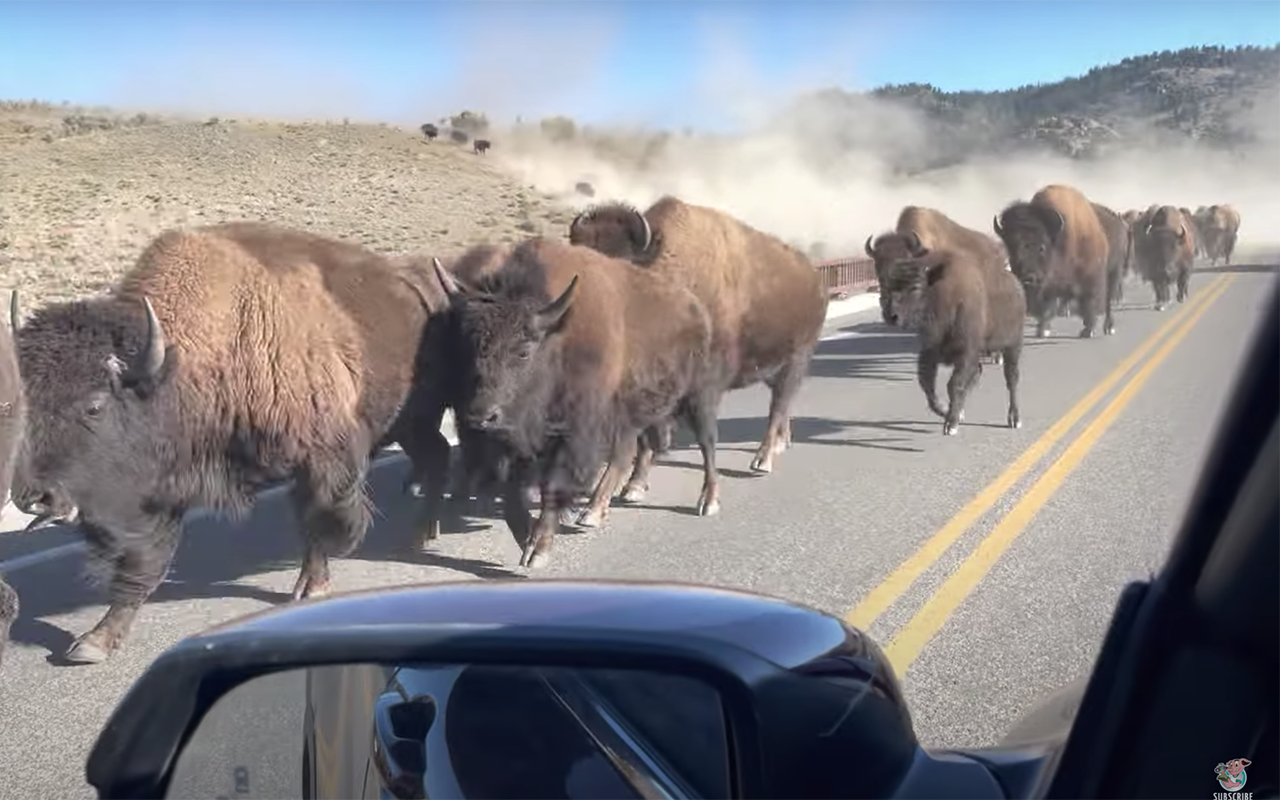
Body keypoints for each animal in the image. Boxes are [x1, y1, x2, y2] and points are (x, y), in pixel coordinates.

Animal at [8, 222, 455, 660]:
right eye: (26, 404)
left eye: (95, 406)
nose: (34, 497)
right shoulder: (165, 489)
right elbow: (143, 564)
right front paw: (97, 641)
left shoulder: (321, 460)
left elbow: (320, 521)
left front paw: (314, 585)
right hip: (409, 427)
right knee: (436, 455)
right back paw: (422, 532)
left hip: (414, 419)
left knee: (436, 456)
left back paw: (418, 533)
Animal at [432, 236, 721, 568]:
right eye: (467, 345)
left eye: (523, 351)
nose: (481, 416)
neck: (558, 339)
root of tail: (696, 308)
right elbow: (510, 492)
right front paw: (525, 536)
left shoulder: (576, 433)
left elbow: (553, 484)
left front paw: (538, 550)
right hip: (632, 413)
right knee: (633, 451)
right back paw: (607, 503)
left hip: (698, 397)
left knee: (707, 443)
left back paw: (707, 501)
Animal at [570, 197, 829, 481]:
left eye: (617, 266)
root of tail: (815, 278)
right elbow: (648, 439)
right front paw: (635, 483)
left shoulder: (705, 386)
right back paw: (783, 443)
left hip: (797, 360)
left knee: (778, 407)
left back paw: (763, 460)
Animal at [880, 249, 1029, 437]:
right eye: (888, 285)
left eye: (915, 287)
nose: (891, 315)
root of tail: (1016, 286)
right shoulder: (930, 352)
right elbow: (928, 385)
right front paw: (947, 411)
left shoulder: (965, 353)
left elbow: (953, 384)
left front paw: (950, 424)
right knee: (977, 373)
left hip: (1013, 347)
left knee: (1012, 379)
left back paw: (1014, 419)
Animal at [988, 183, 1111, 337]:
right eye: (1011, 249)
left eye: (1042, 247)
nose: (1028, 278)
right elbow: (1045, 306)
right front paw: (1042, 329)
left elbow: (1087, 303)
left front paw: (1088, 331)